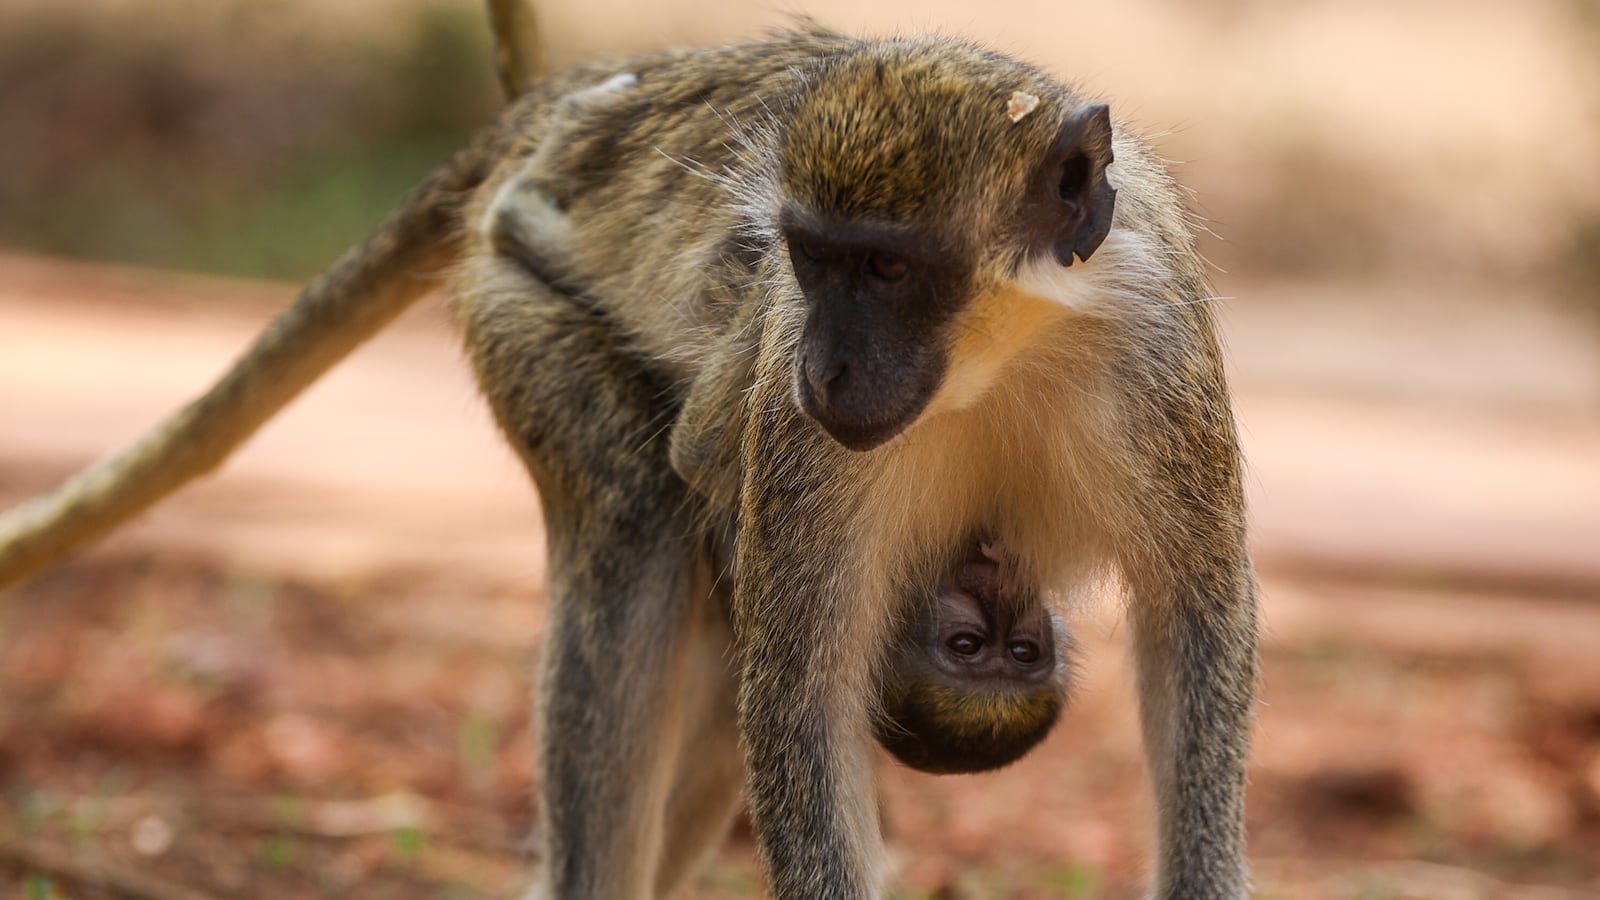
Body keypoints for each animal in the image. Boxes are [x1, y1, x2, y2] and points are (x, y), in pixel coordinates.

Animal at [0, 22, 1258, 900]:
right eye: (822, 261)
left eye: (891, 274)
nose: (829, 370)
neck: (1005, 349)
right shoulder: (798, 426)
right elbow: (797, 692)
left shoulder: (1159, 358)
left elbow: (1193, 625)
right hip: (513, 297)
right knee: (640, 513)